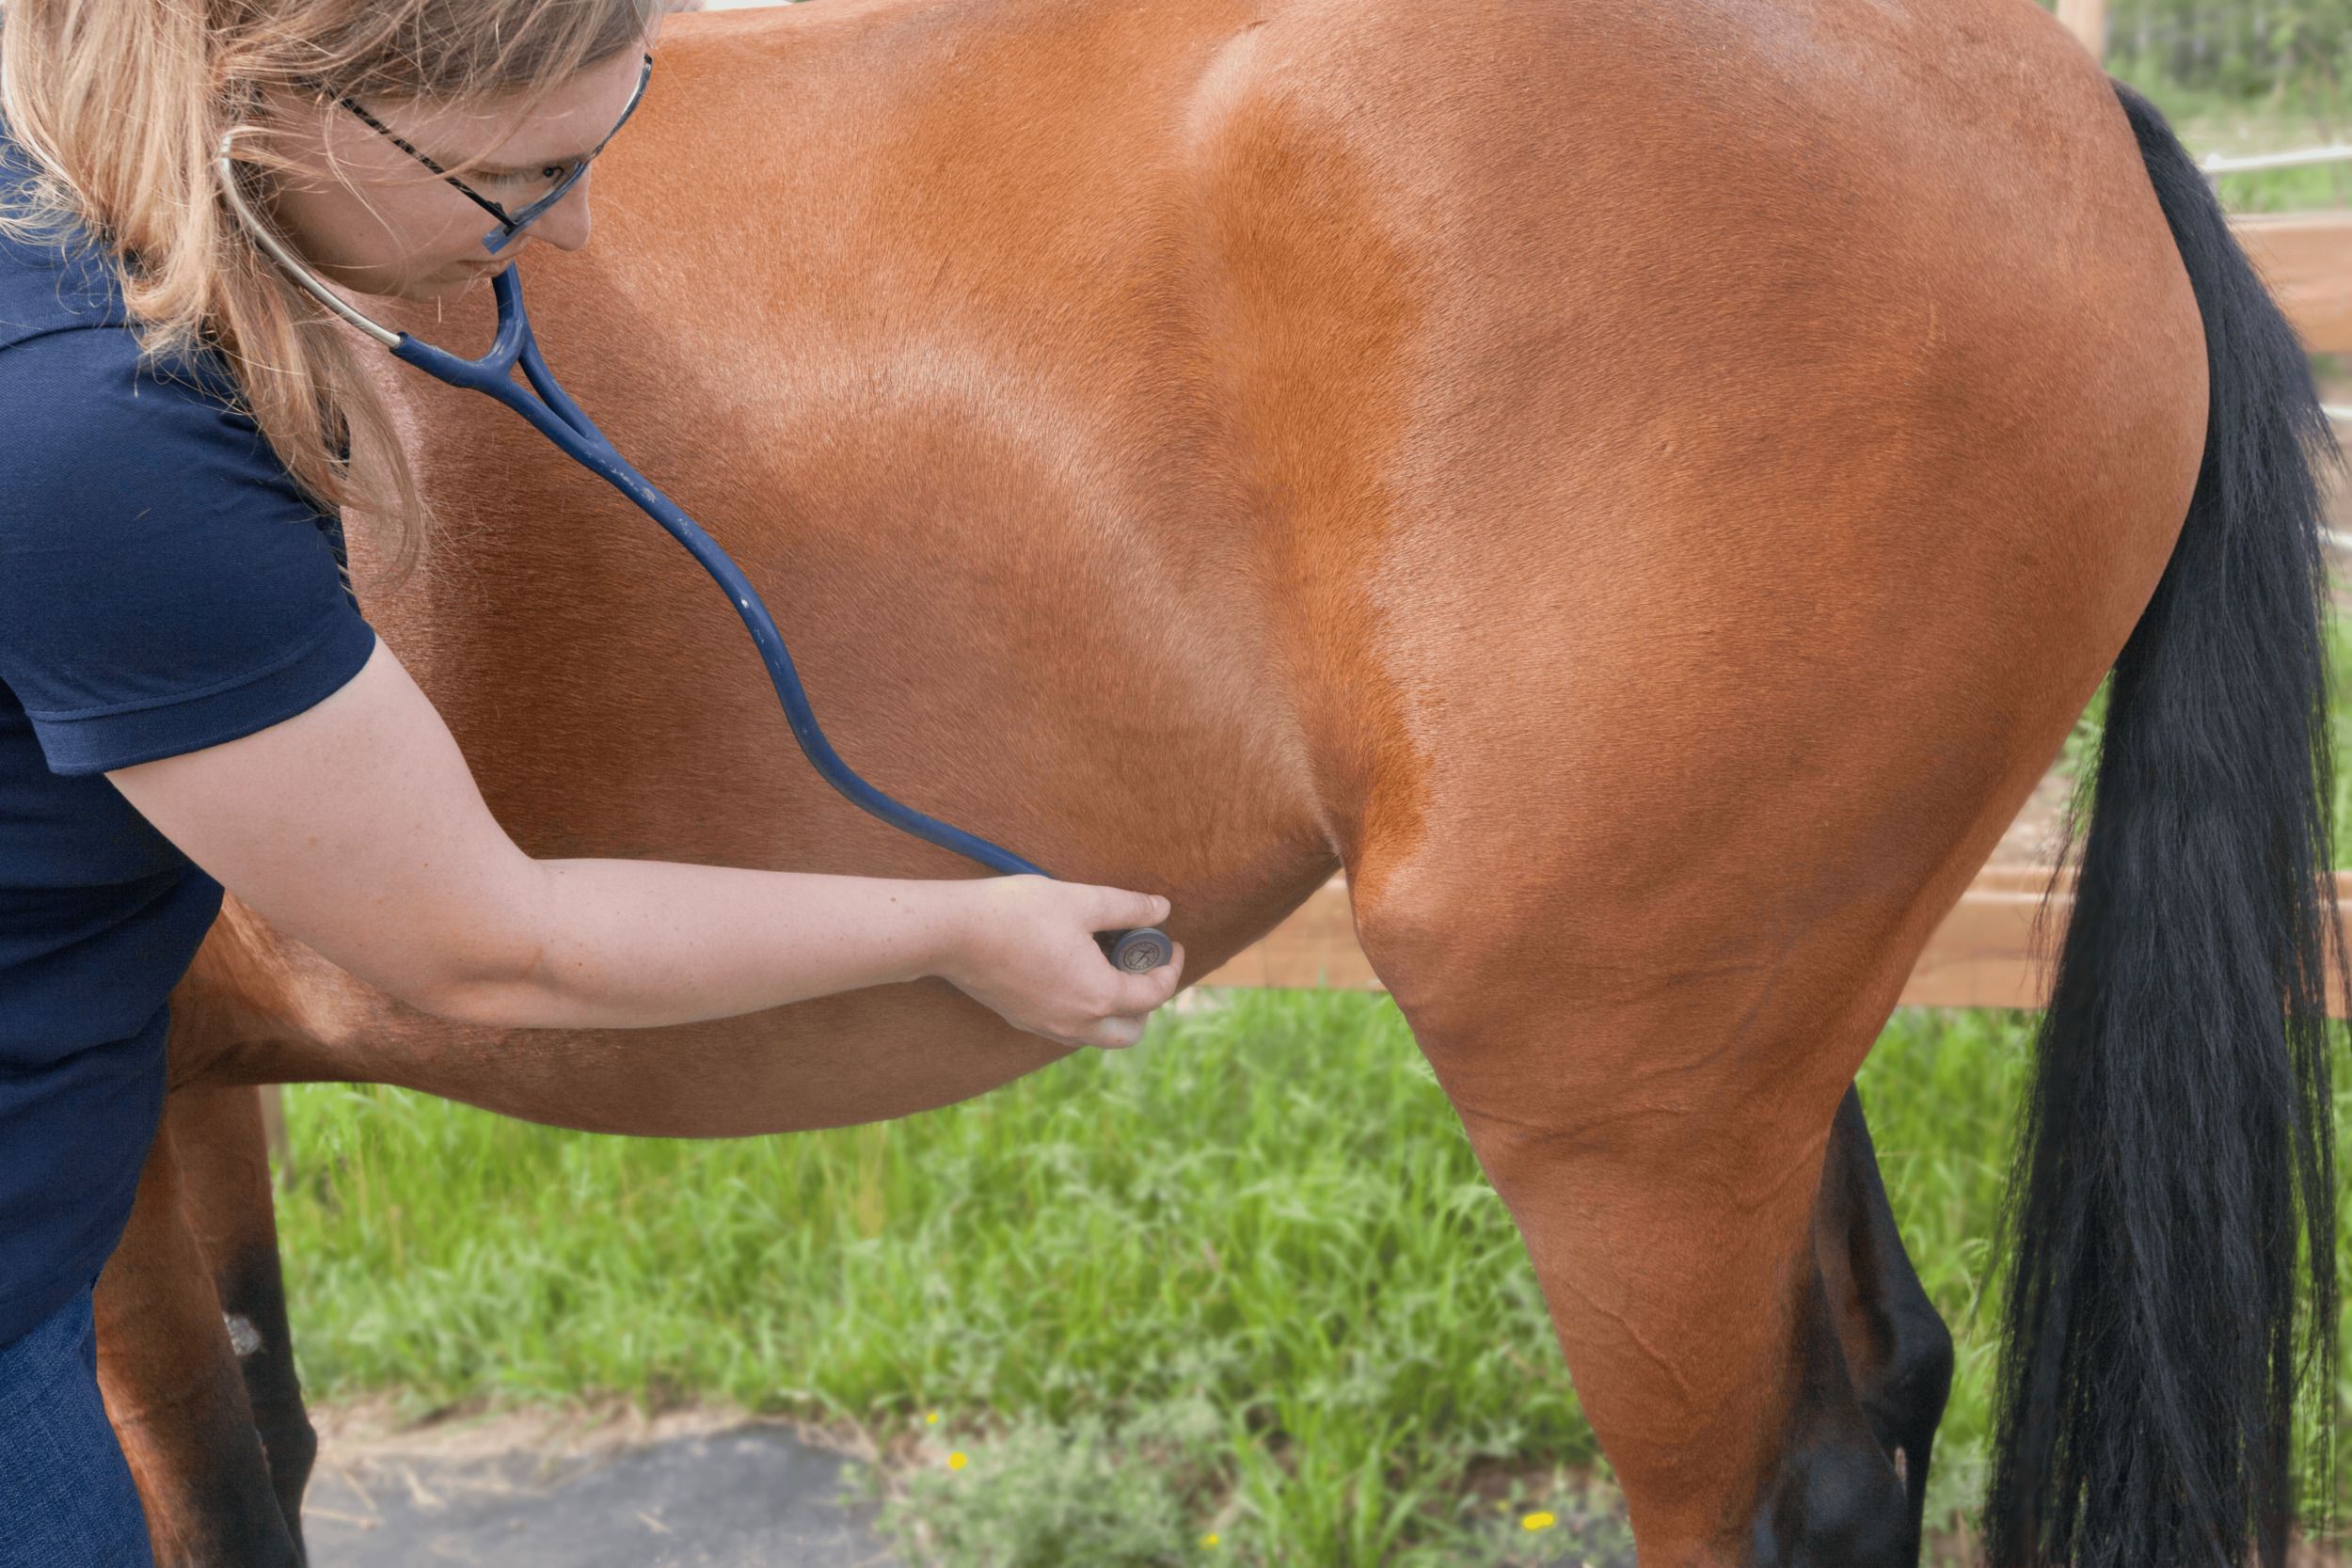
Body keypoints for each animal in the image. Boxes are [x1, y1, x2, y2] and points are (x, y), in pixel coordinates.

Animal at [88, 0, 2344, 1563]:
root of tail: (2066, 113)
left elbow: (199, 1483)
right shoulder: (188, 1092)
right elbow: (265, 1437)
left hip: (1612, 1080)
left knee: (1783, 1484)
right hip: (1760, 1010)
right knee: (1891, 1378)